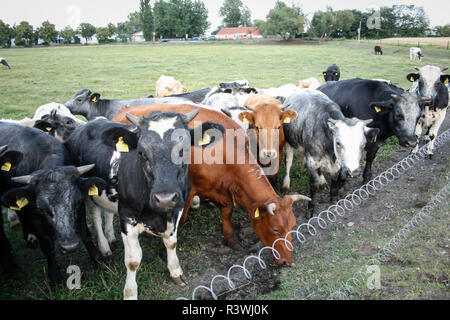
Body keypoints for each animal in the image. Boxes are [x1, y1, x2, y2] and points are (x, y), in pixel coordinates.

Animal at [0, 122, 105, 284]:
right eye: (42, 209)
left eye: (77, 202)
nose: (69, 247)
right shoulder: (34, 214)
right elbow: (47, 245)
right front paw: (54, 275)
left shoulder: (81, 209)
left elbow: (85, 233)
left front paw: (99, 260)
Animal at [64, 110, 224, 300]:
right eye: (141, 152)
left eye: (184, 150)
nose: (164, 198)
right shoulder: (127, 215)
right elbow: (133, 260)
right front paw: (130, 293)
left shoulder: (176, 208)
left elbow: (171, 242)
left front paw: (175, 271)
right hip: (88, 189)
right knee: (95, 215)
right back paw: (104, 247)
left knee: (108, 212)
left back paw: (110, 236)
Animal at [113, 104, 310, 268]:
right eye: (275, 229)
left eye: (293, 225)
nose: (288, 261)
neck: (224, 151)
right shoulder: (188, 190)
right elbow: (180, 219)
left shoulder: (223, 189)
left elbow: (227, 211)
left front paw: (231, 239)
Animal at [284, 89, 378, 218]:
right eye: (338, 143)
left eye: (363, 144)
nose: (353, 171)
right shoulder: (312, 160)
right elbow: (314, 184)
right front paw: (311, 207)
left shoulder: (337, 163)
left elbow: (334, 178)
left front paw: (333, 196)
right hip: (289, 142)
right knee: (288, 162)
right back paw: (286, 183)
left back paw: (323, 181)